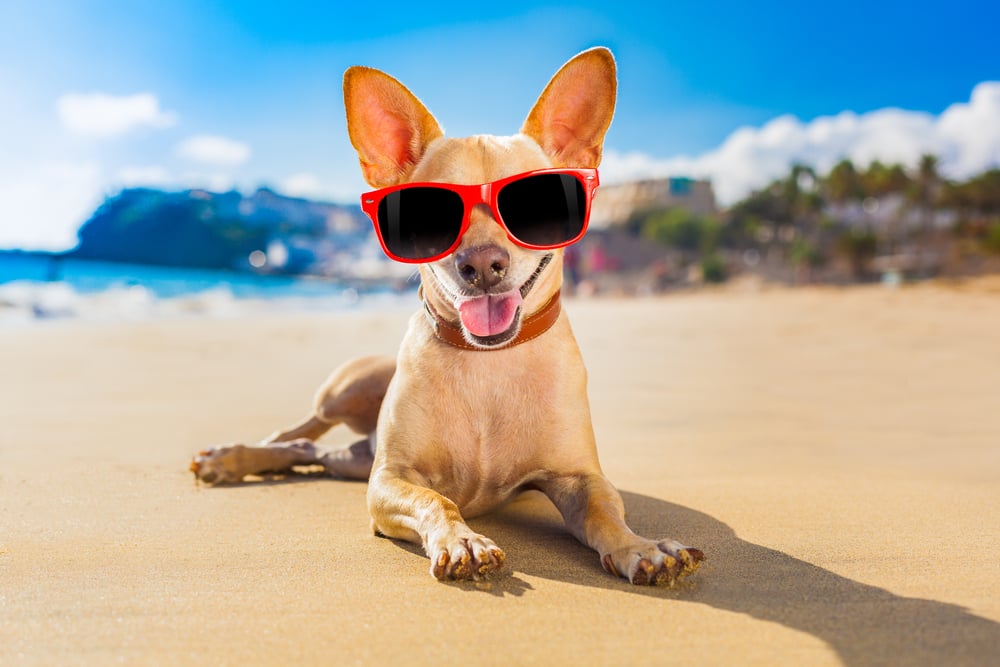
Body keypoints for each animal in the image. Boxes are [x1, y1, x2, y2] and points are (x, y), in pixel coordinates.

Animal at [189, 49, 704, 588]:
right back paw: (232, 457)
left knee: (309, 453)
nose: (481, 263)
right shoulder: (389, 479)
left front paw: (639, 547)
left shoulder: (579, 478)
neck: (488, 362)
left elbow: (607, 512)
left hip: (351, 457)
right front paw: (463, 540)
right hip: (344, 389)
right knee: (295, 432)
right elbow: (436, 498)